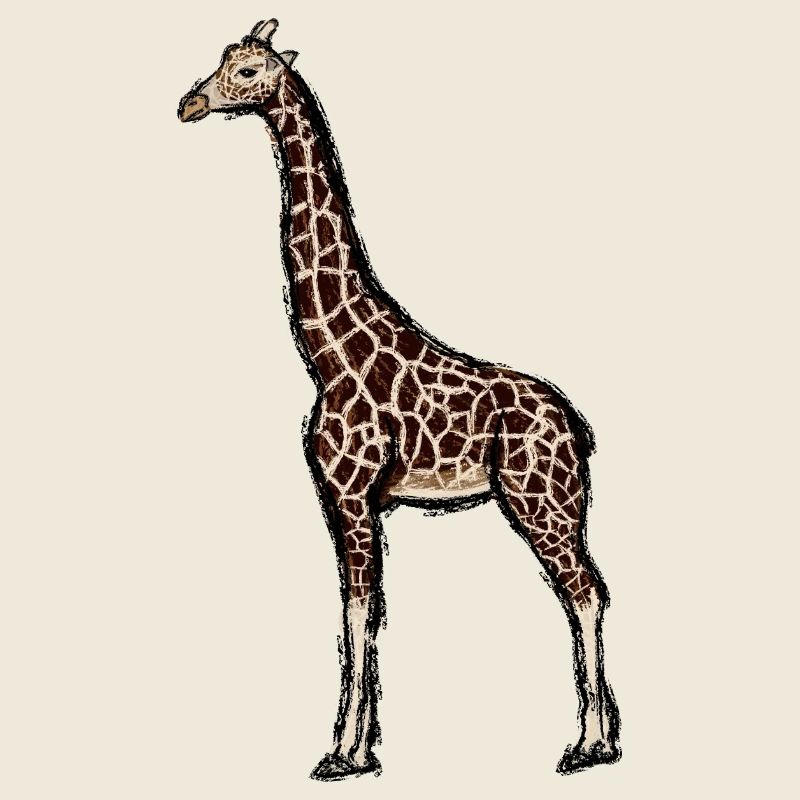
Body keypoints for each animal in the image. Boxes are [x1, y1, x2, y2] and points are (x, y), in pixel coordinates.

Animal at [178, 18, 621, 780]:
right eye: (221, 61)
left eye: (249, 70)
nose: (189, 103)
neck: (327, 354)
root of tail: (575, 427)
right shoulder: (346, 499)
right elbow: (362, 610)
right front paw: (351, 746)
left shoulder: (353, 493)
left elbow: (359, 612)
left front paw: (344, 754)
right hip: (554, 503)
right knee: (583, 590)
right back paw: (594, 739)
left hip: (542, 501)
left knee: (586, 591)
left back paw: (590, 745)